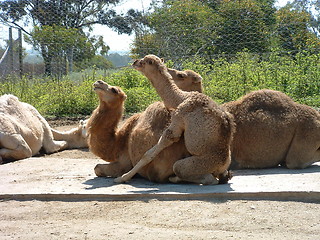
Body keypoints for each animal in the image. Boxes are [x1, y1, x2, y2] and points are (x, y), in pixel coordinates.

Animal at [114, 54, 234, 186]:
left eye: (147, 61)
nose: (135, 62)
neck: (180, 99)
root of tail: (223, 164)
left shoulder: (178, 119)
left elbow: (151, 151)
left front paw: (122, 178)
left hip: (203, 163)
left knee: (204, 177)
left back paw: (174, 178)